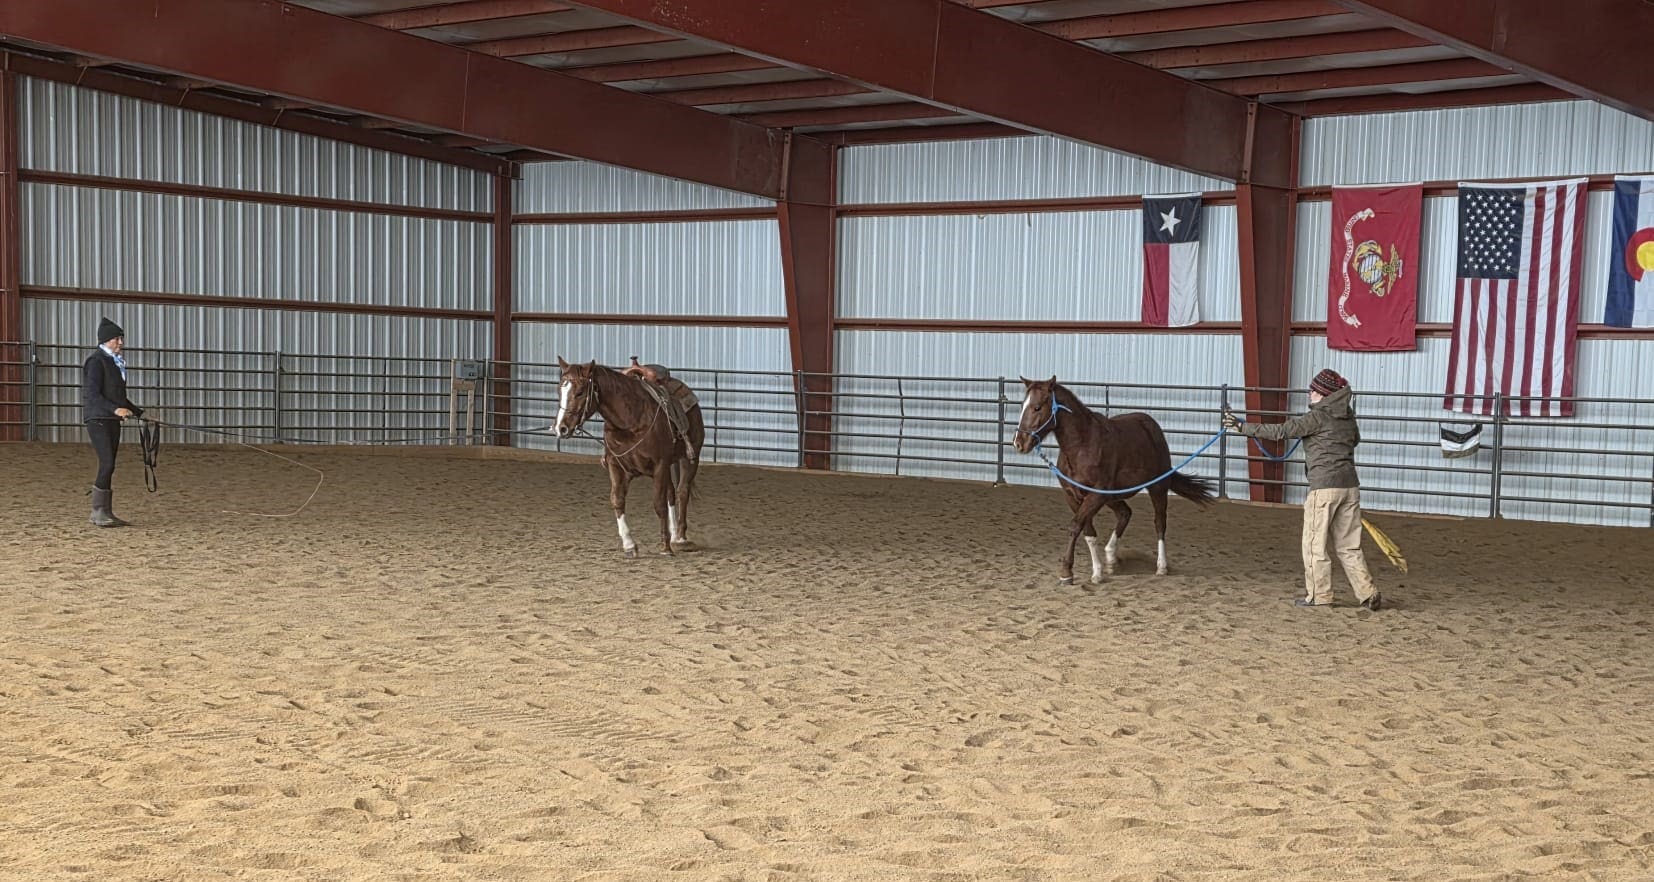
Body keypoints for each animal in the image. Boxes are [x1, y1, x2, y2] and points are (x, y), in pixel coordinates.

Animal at [553, 358, 706, 557]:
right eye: (559, 390)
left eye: (579, 392)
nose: (561, 428)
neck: (630, 420)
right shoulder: (616, 465)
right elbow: (617, 500)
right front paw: (629, 544)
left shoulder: (660, 465)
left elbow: (659, 504)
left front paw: (665, 546)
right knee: (671, 493)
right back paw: (674, 535)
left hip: (689, 458)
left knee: (682, 491)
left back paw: (679, 538)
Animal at [1012, 376, 1216, 585]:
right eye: (1022, 405)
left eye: (1037, 407)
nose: (1019, 443)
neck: (1082, 446)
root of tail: (1151, 425)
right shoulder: (1073, 496)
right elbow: (1088, 532)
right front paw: (1097, 571)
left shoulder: (1096, 495)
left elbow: (1075, 526)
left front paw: (1066, 572)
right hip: (1113, 496)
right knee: (1125, 513)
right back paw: (1111, 558)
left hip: (1157, 487)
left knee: (1159, 522)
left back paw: (1161, 566)